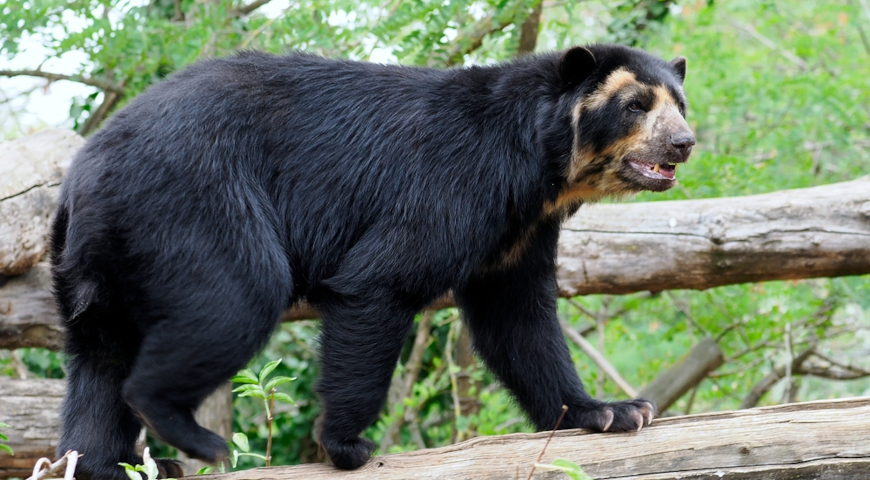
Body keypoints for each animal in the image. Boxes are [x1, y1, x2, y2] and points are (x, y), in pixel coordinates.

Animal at [50, 43, 694, 479]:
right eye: (636, 105)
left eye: (679, 104)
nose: (684, 143)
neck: (539, 170)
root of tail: (83, 173)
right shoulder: (454, 184)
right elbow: (381, 281)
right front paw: (347, 445)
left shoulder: (519, 229)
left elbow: (518, 318)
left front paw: (611, 412)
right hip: (194, 200)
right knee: (235, 298)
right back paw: (195, 439)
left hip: (102, 264)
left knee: (101, 358)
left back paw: (101, 463)